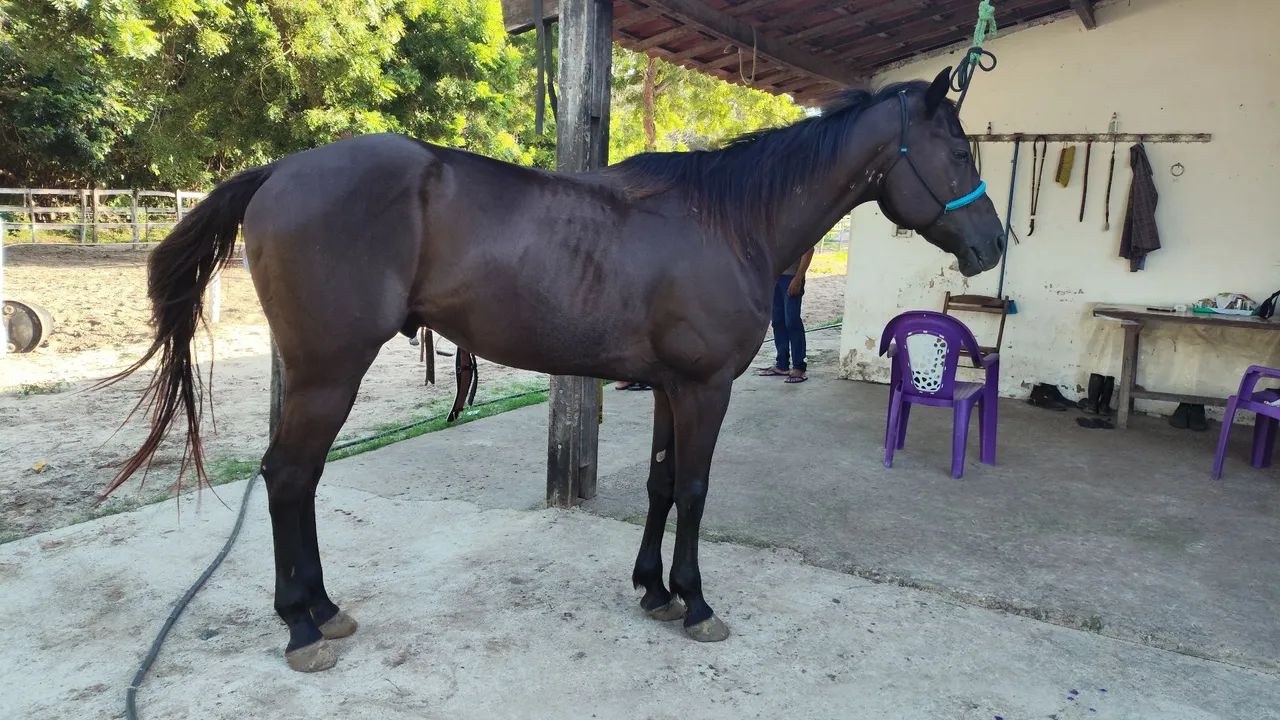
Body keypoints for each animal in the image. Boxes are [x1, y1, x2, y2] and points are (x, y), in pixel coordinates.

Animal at [107, 68, 1003, 672]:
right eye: (959, 149)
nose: (992, 245)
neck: (728, 219)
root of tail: (280, 171)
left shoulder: (673, 387)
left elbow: (660, 483)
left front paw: (653, 590)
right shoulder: (705, 388)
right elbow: (694, 489)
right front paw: (696, 602)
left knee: (301, 480)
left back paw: (323, 610)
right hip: (329, 372)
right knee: (290, 477)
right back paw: (300, 626)